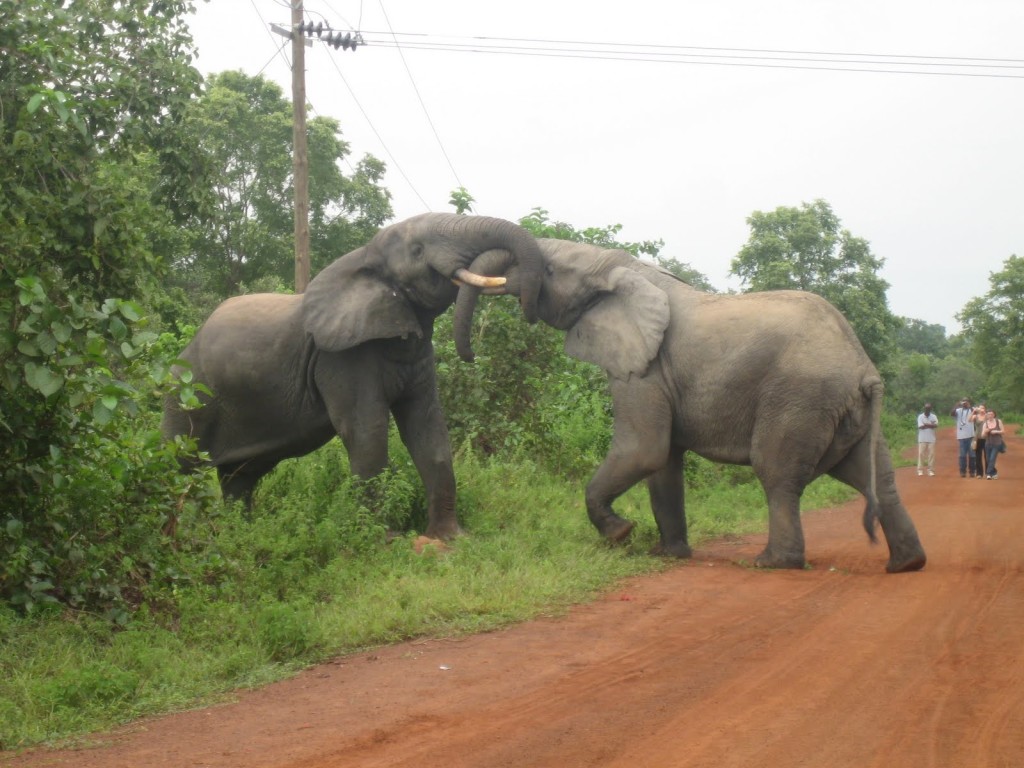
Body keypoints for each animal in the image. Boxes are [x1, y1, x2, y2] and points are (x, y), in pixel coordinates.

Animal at [160, 211, 544, 540]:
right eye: (417, 250)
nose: (471, 354)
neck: (364, 256)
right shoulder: (340, 358)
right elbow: (366, 430)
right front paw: (384, 541)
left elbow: (428, 428)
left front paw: (450, 540)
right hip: (186, 400)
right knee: (177, 470)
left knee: (239, 478)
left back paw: (242, 535)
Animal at [456, 240, 929, 573]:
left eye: (551, 269)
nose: (468, 357)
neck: (624, 267)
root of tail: (864, 367)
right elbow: (663, 461)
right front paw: (667, 554)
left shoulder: (644, 368)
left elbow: (643, 449)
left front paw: (619, 533)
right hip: (846, 410)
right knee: (875, 477)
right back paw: (906, 564)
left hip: (801, 398)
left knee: (777, 473)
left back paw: (772, 562)